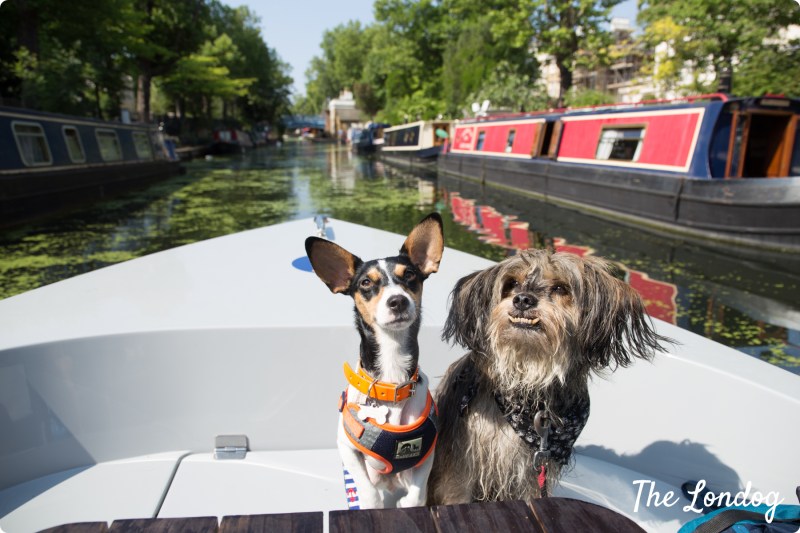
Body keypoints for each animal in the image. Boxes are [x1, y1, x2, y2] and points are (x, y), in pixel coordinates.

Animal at [304, 212, 444, 508]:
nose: (398, 301)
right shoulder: (346, 447)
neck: (391, 382)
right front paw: (370, 505)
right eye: (365, 283)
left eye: (410, 276)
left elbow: (416, 495)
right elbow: (367, 492)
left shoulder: (427, 454)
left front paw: (409, 503)